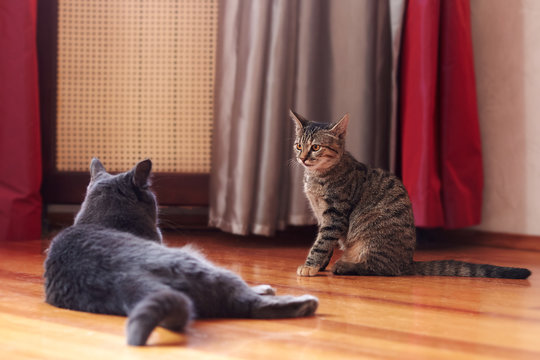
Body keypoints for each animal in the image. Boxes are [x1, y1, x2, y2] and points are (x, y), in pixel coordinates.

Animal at [292, 111, 532, 280]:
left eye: (316, 147)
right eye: (298, 146)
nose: (302, 158)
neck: (316, 178)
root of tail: (408, 261)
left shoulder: (335, 215)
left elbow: (322, 243)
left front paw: (311, 265)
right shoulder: (322, 216)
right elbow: (326, 244)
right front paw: (319, 266)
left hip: (371, 240)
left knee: (379, 268)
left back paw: (345, 266)